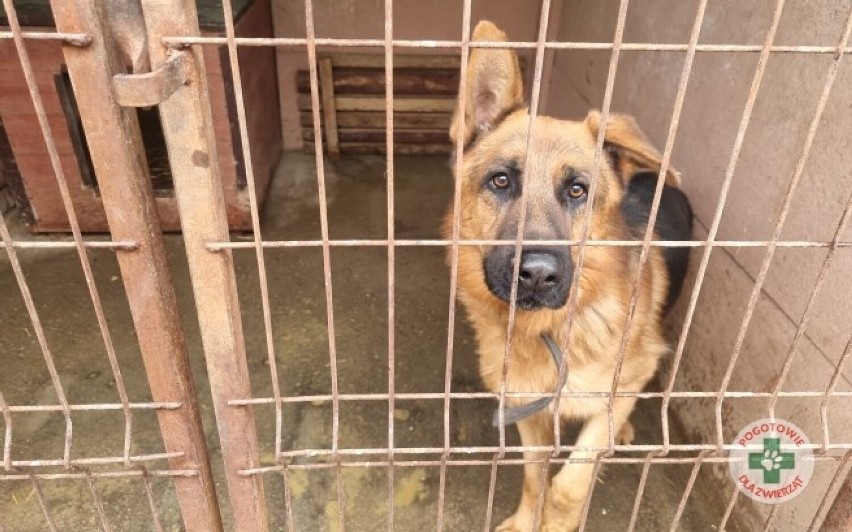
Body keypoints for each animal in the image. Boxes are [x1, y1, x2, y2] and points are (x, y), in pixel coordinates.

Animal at [446, 21, 692, 532]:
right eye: (501, 181)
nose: (538, 275)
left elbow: (567, 487)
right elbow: (535, 474)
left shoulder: (613, 395)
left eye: (577, 190)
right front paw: (526, 520)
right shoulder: (527, 407)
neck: (549, 332)